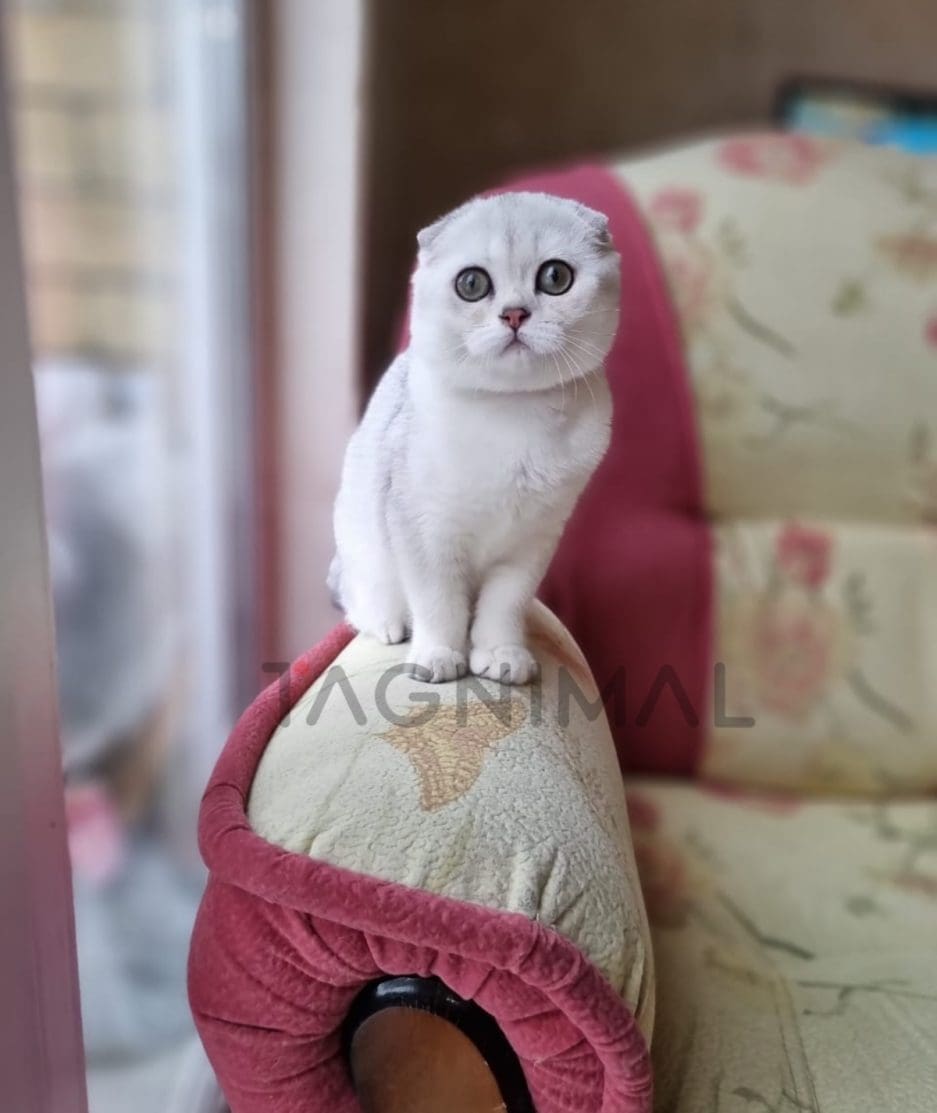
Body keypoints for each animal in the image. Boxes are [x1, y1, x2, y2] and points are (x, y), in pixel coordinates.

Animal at [329, 189, 618, 685]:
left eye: (555, 277)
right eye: (472, 284)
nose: (515, 314)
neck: (514, 418)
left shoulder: (531, 545)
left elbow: (504, 606)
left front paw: (501, 654)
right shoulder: (424, 534)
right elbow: (439, 605)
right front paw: (438, 657)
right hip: (361, 542)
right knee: (359, 598)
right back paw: (389, 623)